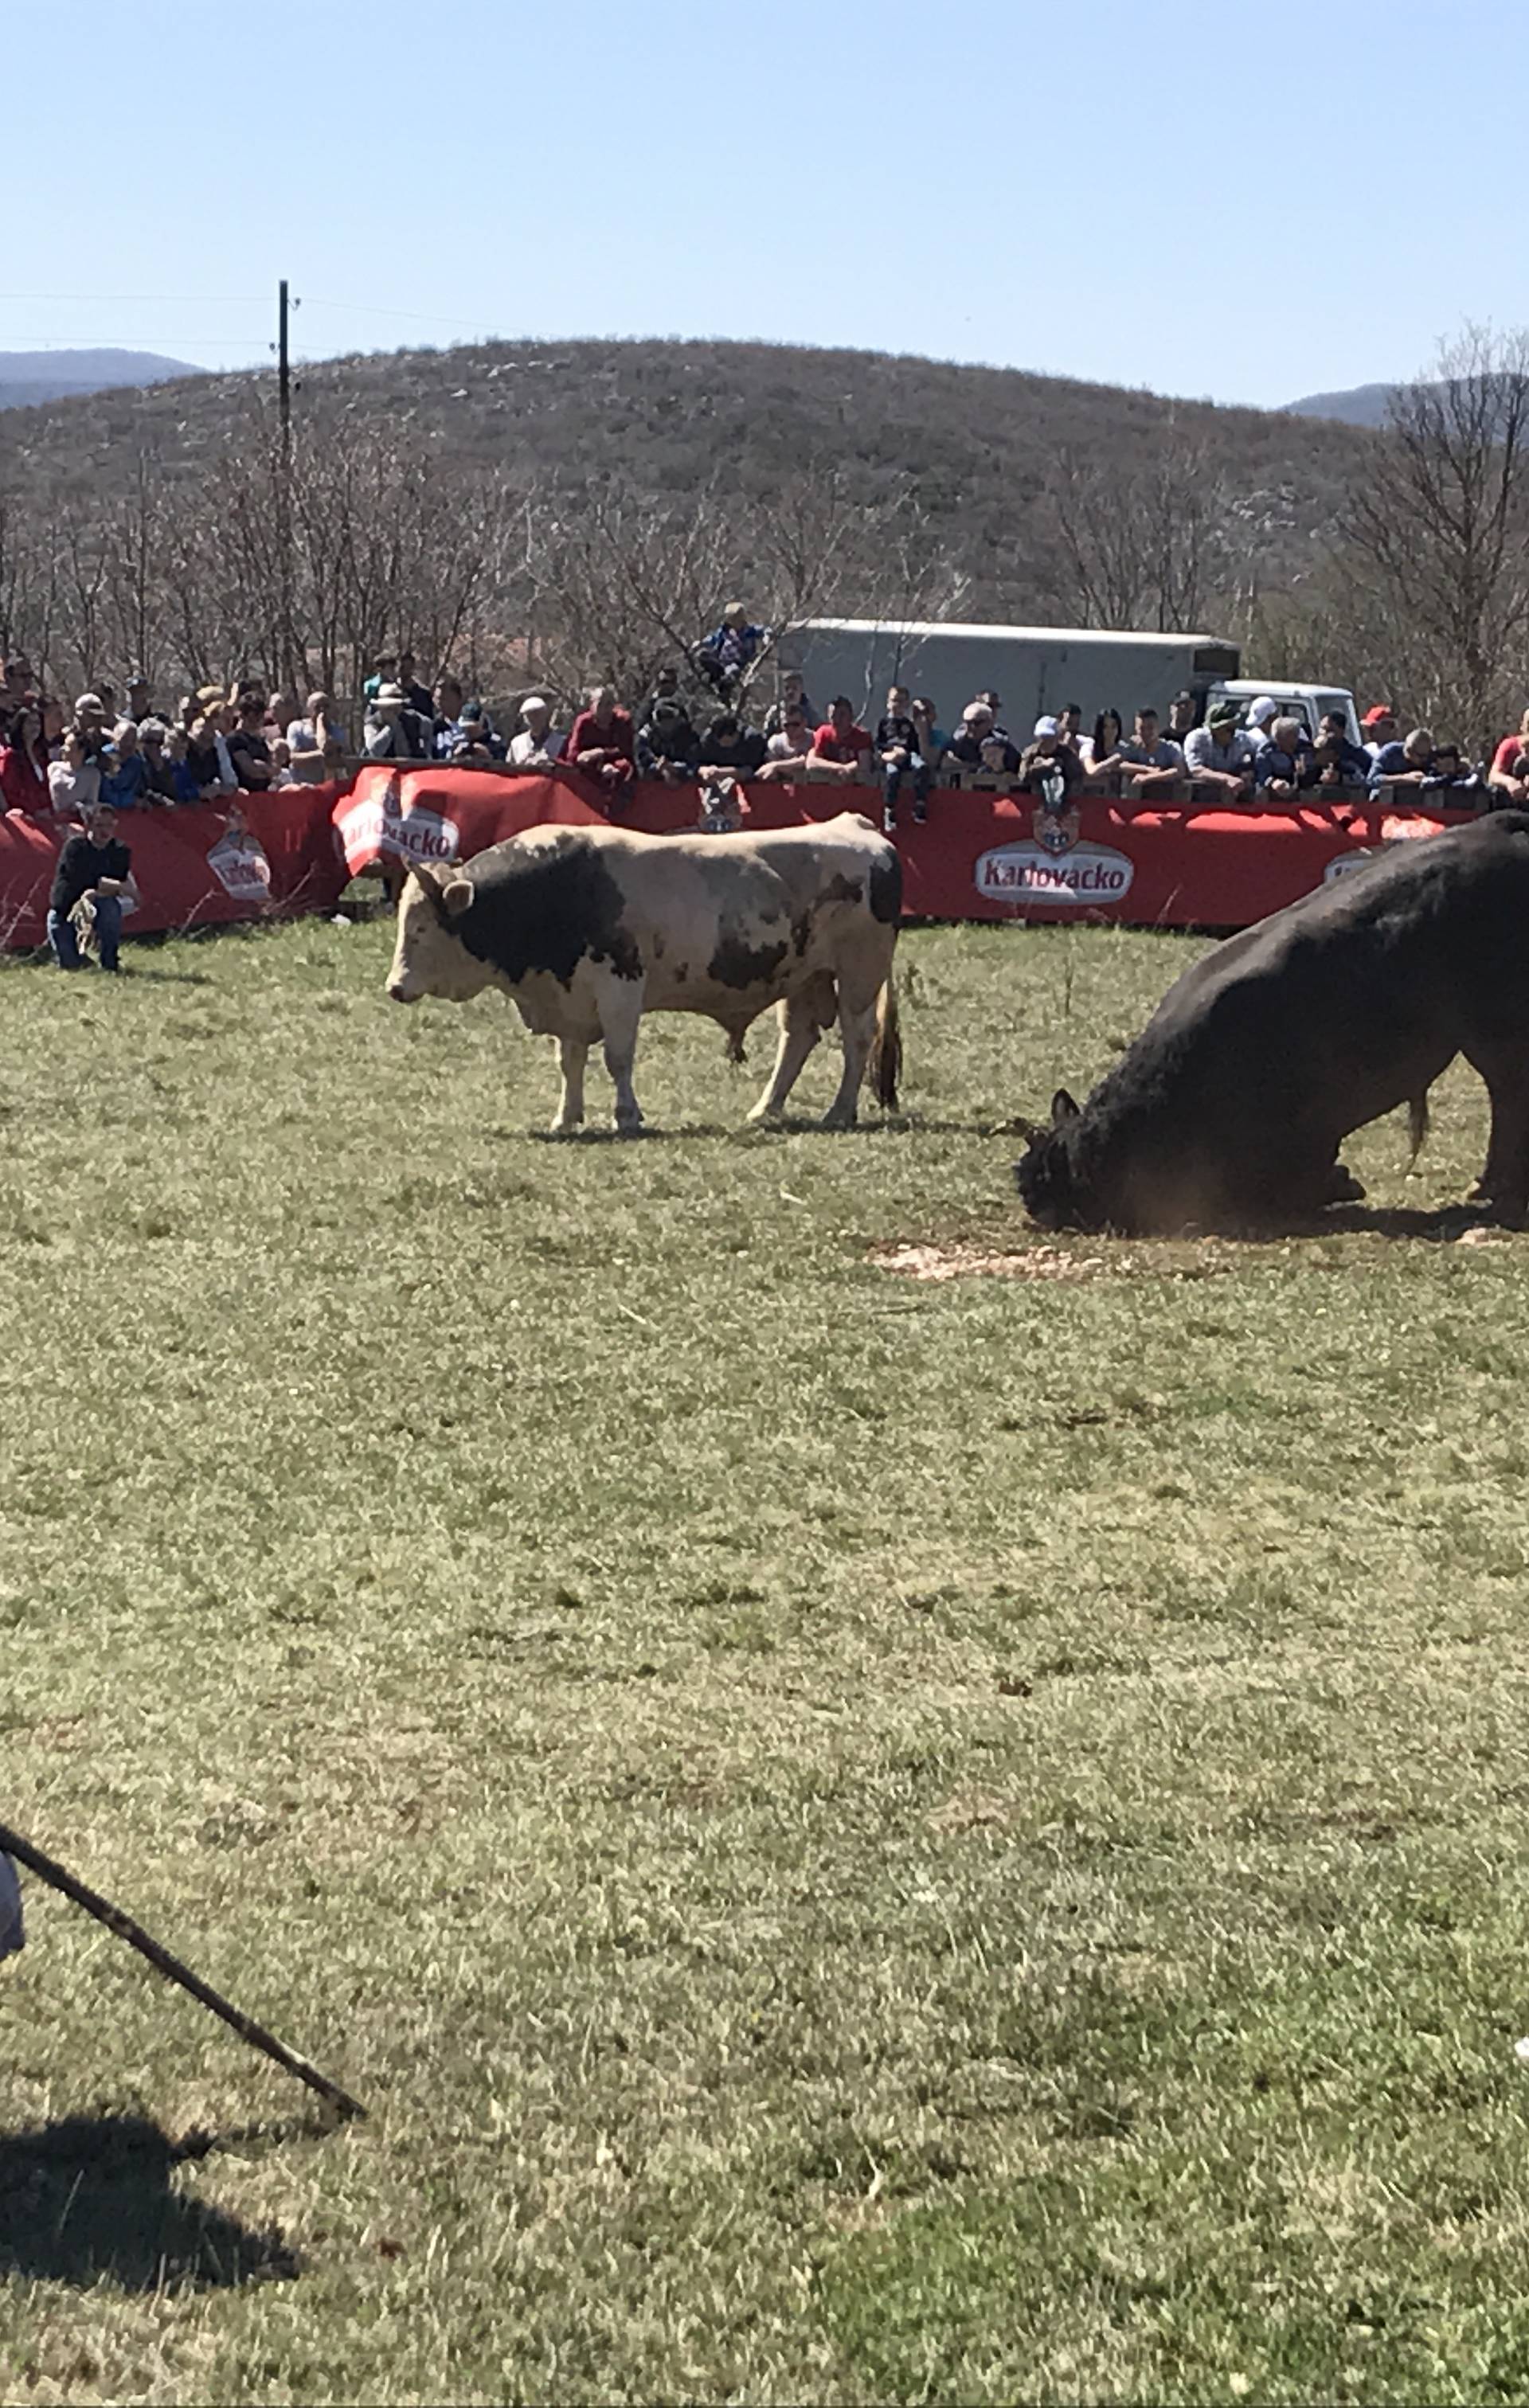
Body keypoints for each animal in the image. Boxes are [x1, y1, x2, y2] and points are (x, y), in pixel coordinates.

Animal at [382, 809, 905, 1127]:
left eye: (421, 929)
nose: (394, 987)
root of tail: (857, 826)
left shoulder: (619, 988)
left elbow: (617, 1057)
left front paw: (627, 1114)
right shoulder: (568, 994)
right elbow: (569, 1060)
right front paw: (567, 1117)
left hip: (858, 974)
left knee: (857, 1039)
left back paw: (839, 1111)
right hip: (805, 977)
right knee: (798, 1038)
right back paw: (766, 1108)